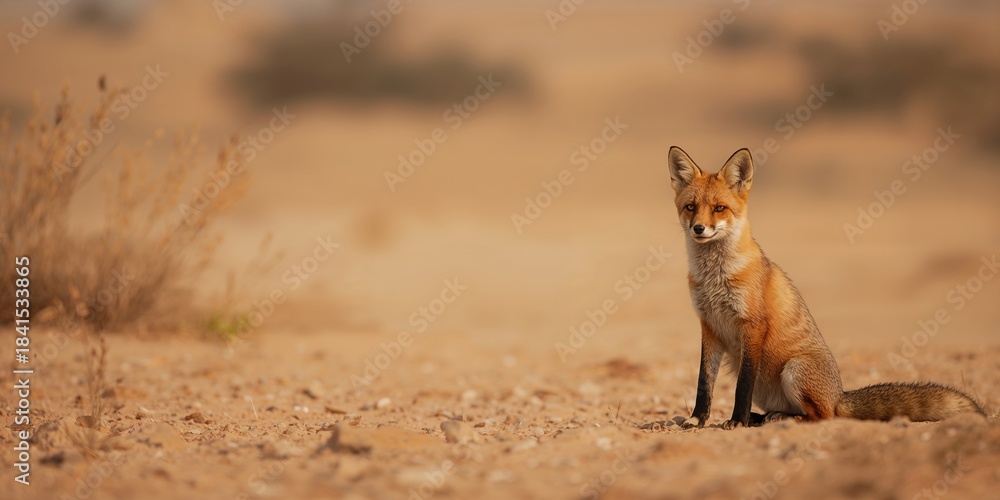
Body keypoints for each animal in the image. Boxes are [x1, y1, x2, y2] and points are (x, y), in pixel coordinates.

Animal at [667, 146, 985, 429]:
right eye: (691, 207)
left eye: (719, 209)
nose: (698, 229)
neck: (715, 277)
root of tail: (839, 395)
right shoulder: (709, 325)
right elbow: (704, 381)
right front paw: (698, 419)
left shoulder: (752, 325)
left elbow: (741, 386)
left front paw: (736, 421)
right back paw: (762, 418)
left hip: (794, 369)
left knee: (823, 416)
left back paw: (779, 419)